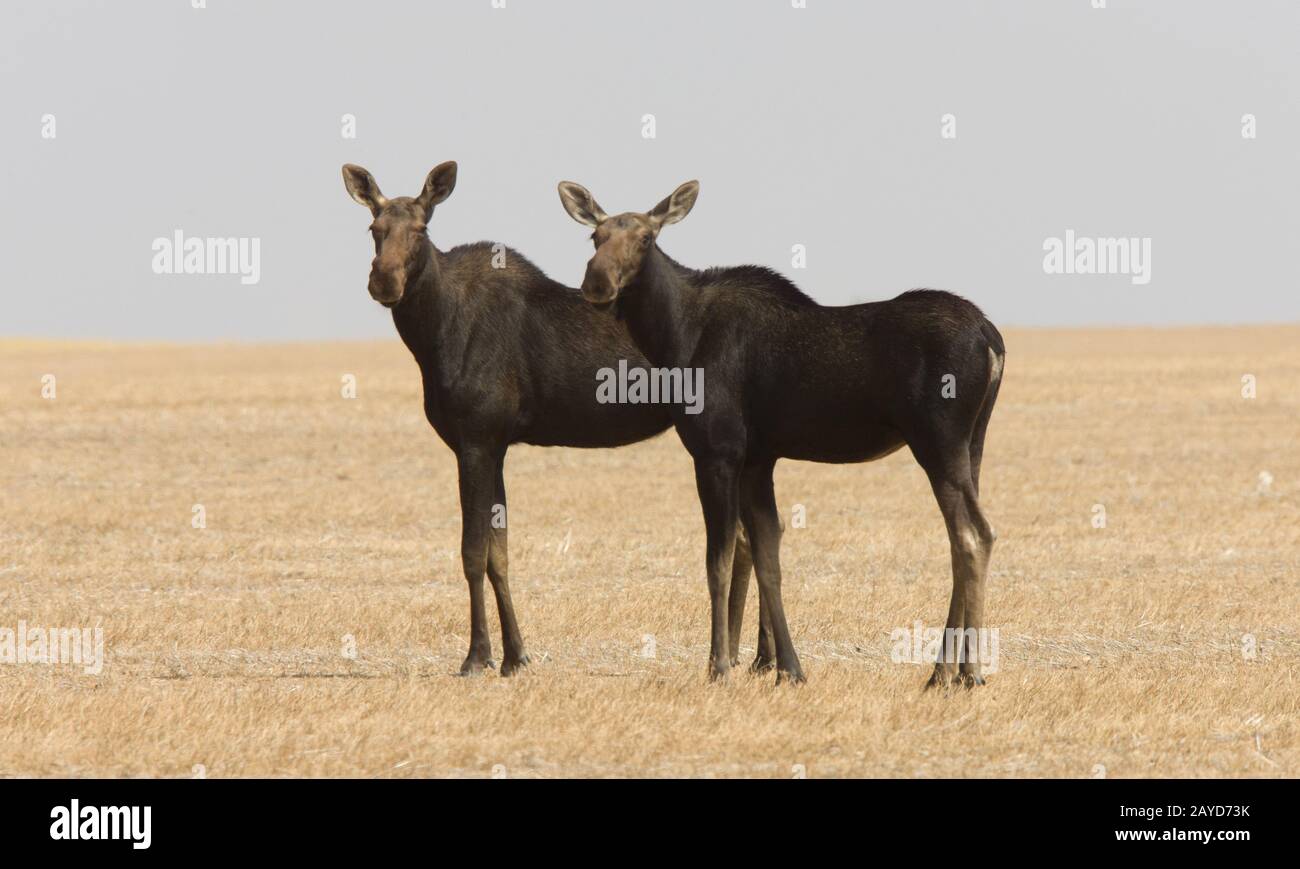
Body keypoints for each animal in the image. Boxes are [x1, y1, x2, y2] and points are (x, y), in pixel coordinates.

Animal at [343, 164, 769, 676]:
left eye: (421, 229)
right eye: (373, 228)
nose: (384, 281)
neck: (431, 335)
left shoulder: (476, 439)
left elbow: (472, 552)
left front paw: (477, 656)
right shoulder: (494, 443)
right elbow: (499, 553)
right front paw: (515, 655)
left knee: (743, 540)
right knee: (748, 539)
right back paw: (755, 656)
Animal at [559, 179, 1003, 686]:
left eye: (647, 238)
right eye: (595, 237)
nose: (597, 281)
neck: (673, 340)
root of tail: (991, 338)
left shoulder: (717, 450)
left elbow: (718, 561)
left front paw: (719, 666)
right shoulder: (758, 458)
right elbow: (768, 556)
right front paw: (788, 667)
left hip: (938, 441)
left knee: (974, 535)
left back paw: (967, 672)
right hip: (973, 442)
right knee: (961, 539)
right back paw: (948, 670)